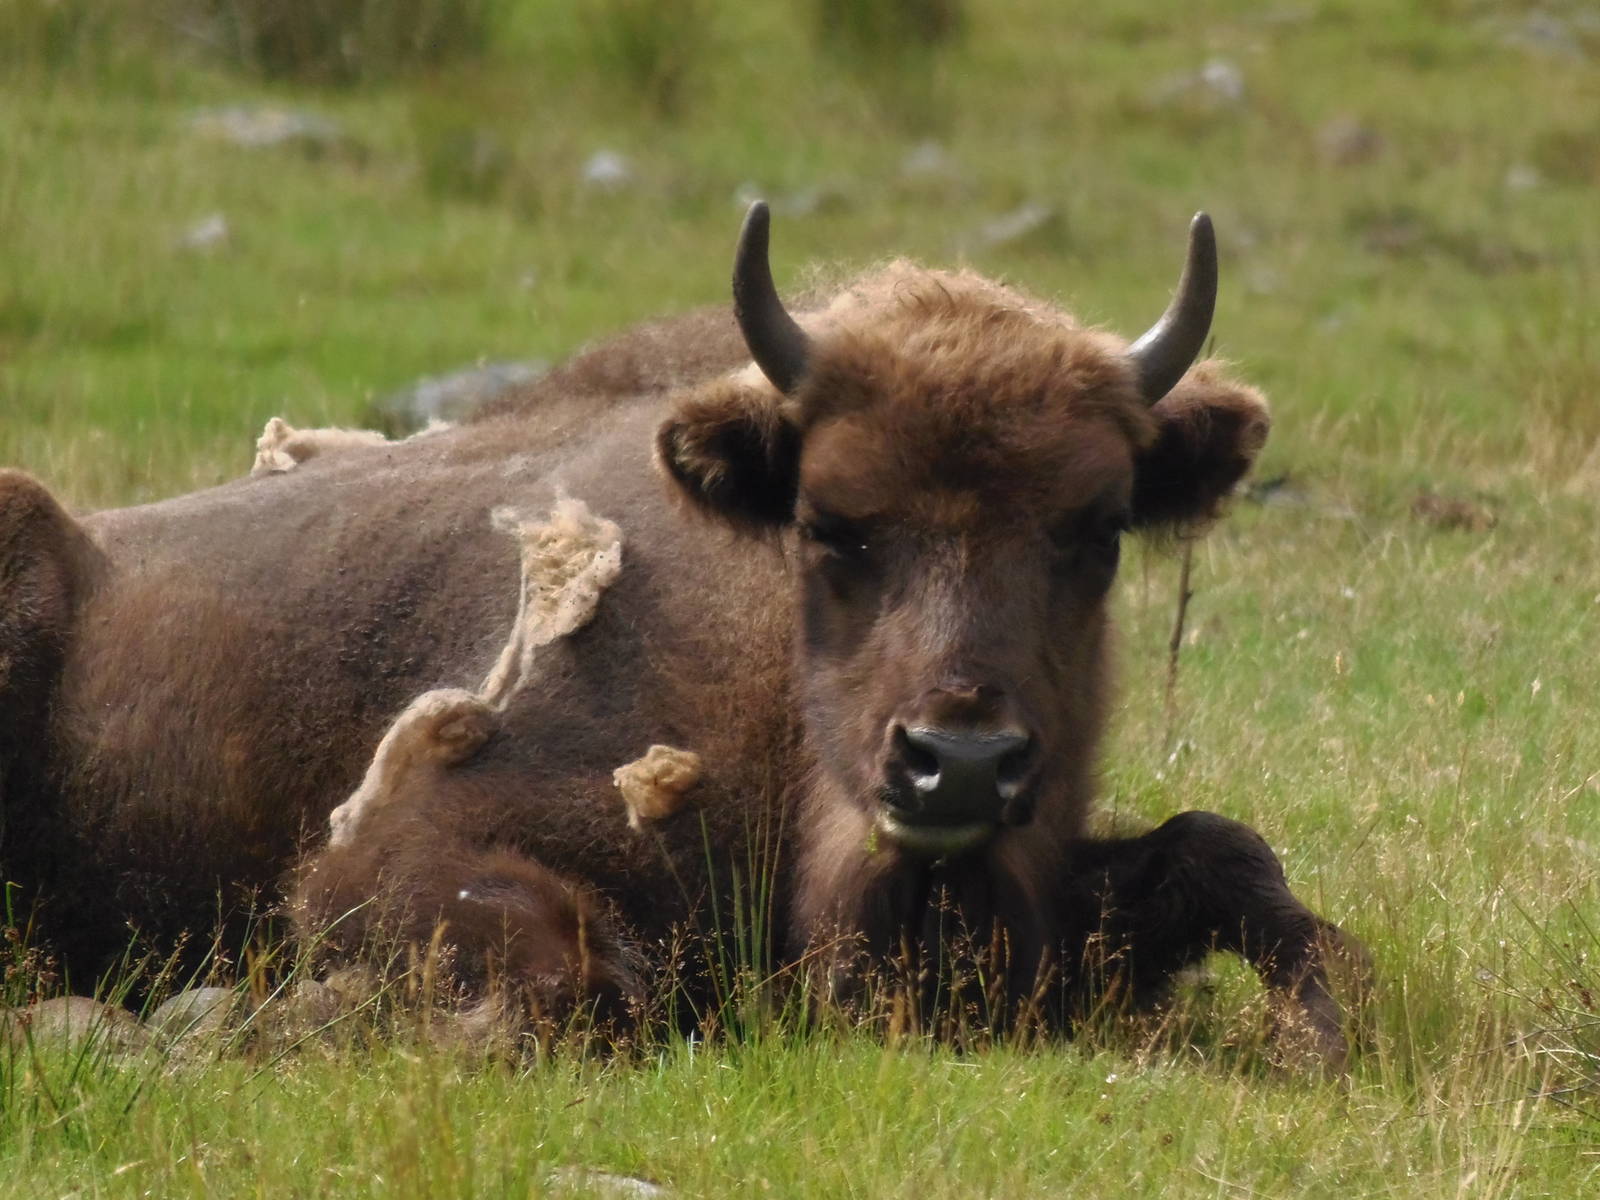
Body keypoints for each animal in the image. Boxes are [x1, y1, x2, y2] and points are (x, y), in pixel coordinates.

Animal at [0, 205, 1358, 1058]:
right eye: (828, 524)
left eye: (1099, 526)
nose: (958, 764)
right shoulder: (383, 851)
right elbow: (581, 973)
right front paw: (251, 1022)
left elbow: (1226, 857)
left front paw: (1319, 1042)